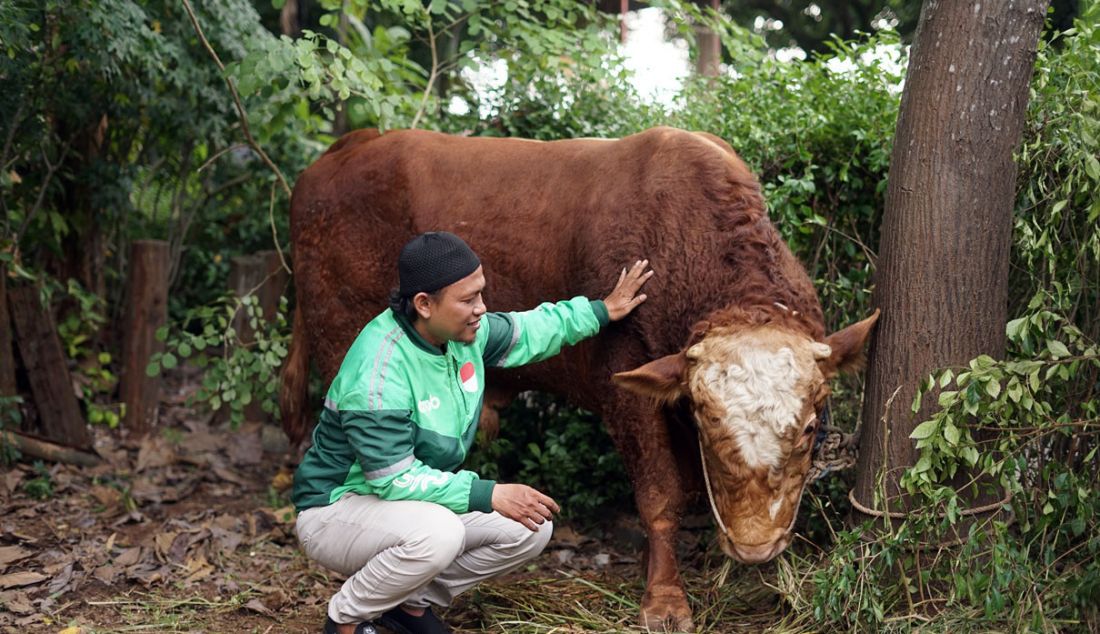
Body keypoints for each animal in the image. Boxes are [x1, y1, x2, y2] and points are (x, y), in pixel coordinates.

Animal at [281, 126, 875, 629]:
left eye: (808, 428)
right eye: (711, 424)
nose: (756, 545)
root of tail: (348, 147)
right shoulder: (625, 388)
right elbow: (661, 493)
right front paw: (664, 598)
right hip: (338, 336)